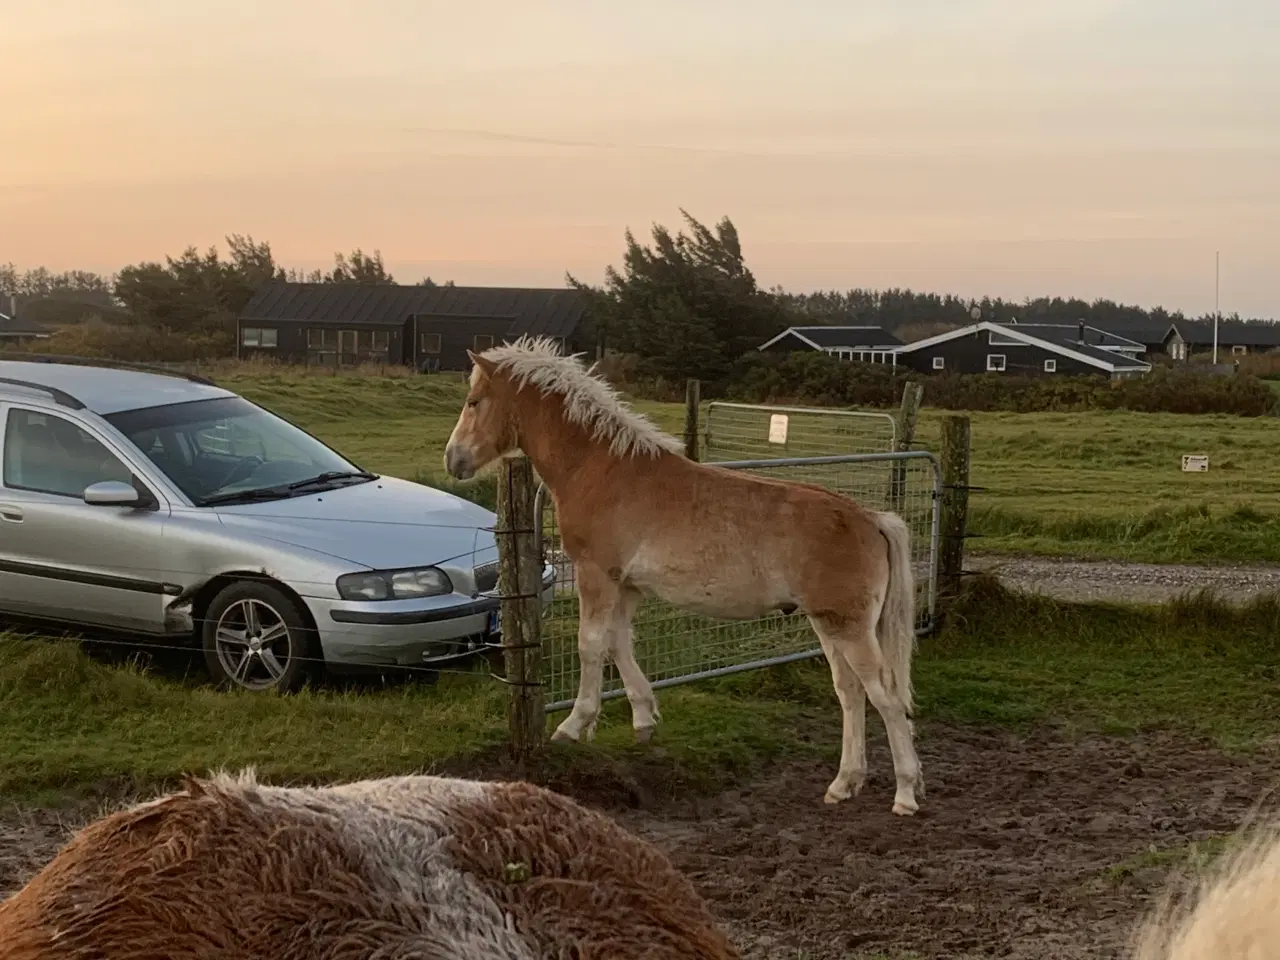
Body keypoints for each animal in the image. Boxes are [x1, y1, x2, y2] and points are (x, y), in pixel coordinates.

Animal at [445, 335, 926, 814]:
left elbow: (591, 645)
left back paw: (905, 792)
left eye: (474, 401)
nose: (454, 459)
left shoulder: (596, 574)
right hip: (829, 625)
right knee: (850, 693)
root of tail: (872, 519)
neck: (604, 470)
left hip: (849, 628)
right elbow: (619, 644)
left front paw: (573, 725)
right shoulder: (627, 586)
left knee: (885, 695)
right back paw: (844, 783)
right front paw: (643, 719)